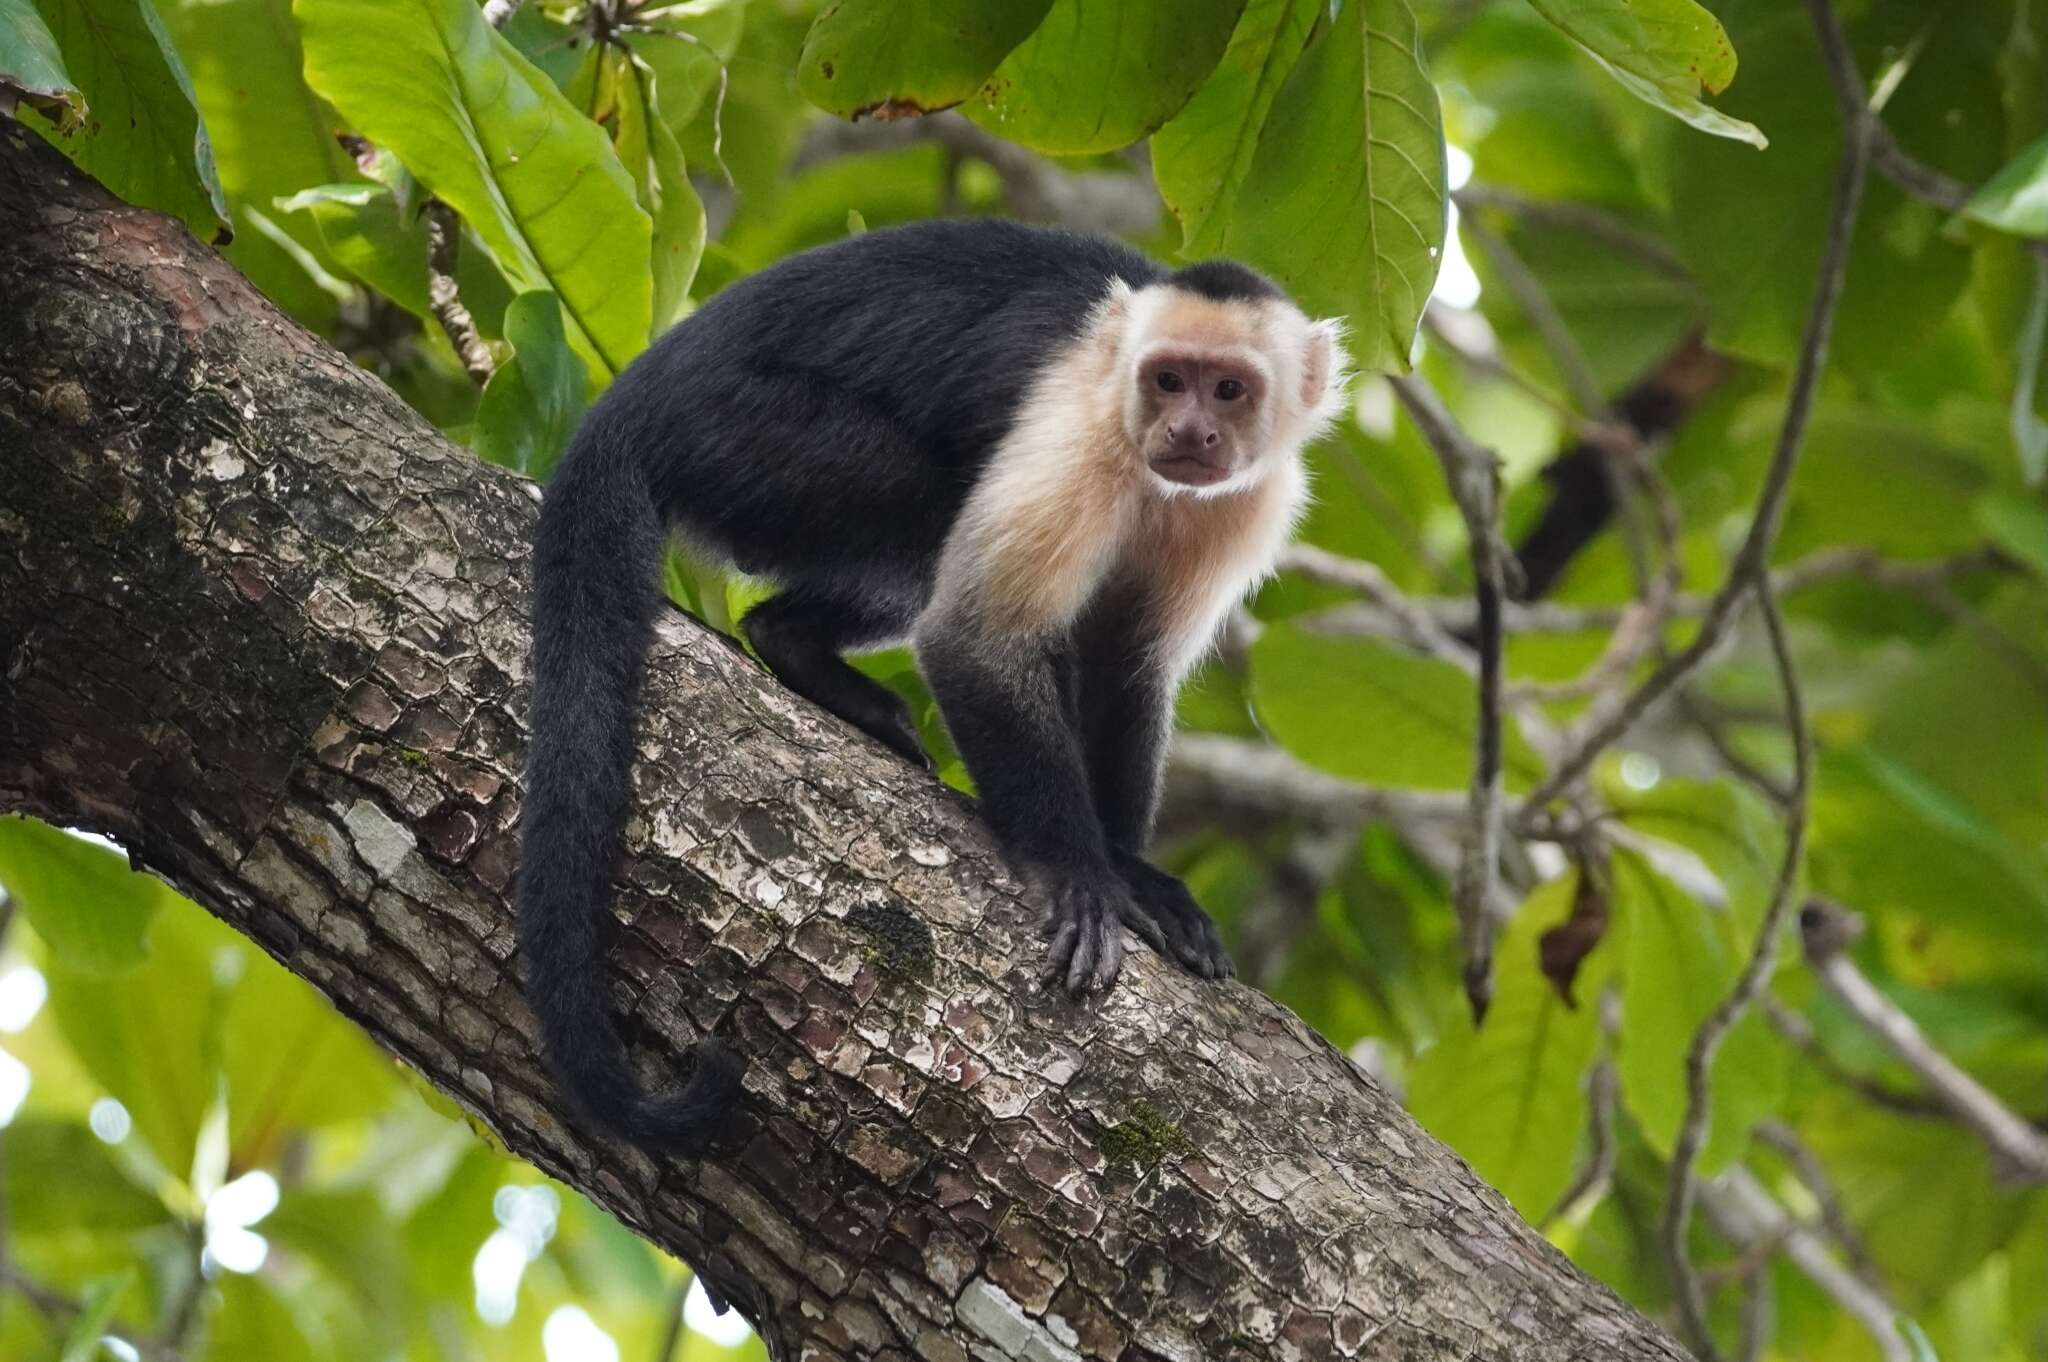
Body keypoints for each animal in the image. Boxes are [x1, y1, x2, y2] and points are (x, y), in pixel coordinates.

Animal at [520, 215, 1351, 1146]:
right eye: (1169, 381)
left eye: (1229, 391)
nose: (1188, 431)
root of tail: (638, 389)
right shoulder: (1080, 430)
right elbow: (974, 639)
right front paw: (1079, 873)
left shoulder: (1249, 499)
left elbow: (1126, 664)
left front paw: (1136, 874)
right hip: (739, 431)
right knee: (926, 507)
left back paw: (795, 646)